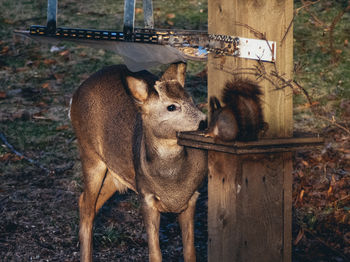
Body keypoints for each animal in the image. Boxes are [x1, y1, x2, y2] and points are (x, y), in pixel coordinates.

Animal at [71, 62, 208, 260]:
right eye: (171, 107)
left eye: (191, 100)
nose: (204, 122)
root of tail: (76, 93)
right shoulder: (146, 198)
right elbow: (155, 253)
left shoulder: (192, 198)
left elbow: (190, 252)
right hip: (89, 154)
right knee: (87, 206)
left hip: (117, 172)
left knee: (87, 201)